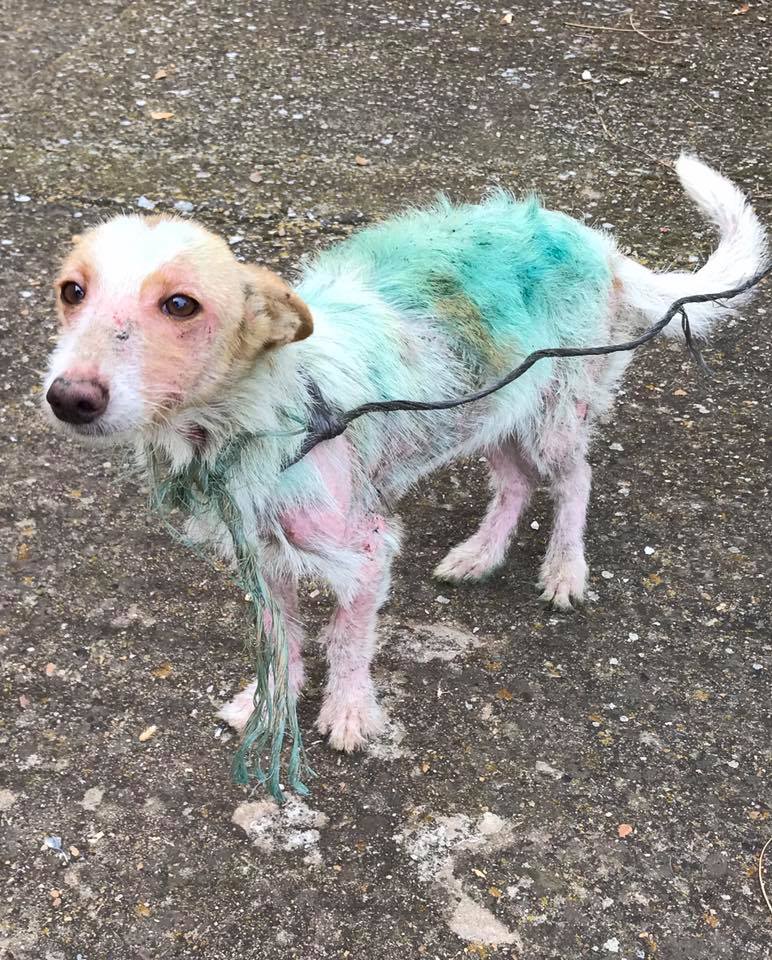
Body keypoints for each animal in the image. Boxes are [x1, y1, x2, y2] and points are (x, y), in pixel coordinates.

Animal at [43, 158, 764, 752]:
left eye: (180, 304)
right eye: (72, 291)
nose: (69, 398)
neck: (265, 414)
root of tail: (597, 244)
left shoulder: (367, 549)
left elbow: (348, 638)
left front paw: (349, 712)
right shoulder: (263, 557)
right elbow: (280, 640)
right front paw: (272, 704)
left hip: (552, 412)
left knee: (576, 478)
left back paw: (565, 568)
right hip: (485, 407)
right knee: (515, 483)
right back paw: (480, 554)